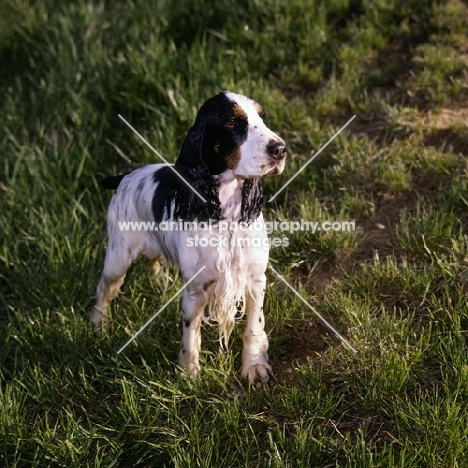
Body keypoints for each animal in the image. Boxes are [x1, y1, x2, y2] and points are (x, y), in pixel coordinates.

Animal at [91, 91, 286, 384]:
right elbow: (190, 333)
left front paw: (254, 366)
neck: (226, 213)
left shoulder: (255, 279)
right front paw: (189, 374)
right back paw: (98, 322)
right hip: (118, 255)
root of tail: (125, 176)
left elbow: (254, 325)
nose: (280, 149)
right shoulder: (196, 289)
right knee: (105, 287)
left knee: (154, 263)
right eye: (231, 122)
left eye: (262, 117)